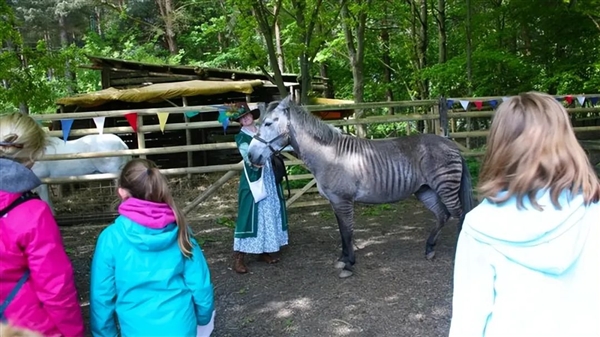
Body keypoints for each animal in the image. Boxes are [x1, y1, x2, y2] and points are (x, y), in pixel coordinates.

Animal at [247, 96, 474, 276]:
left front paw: (349, 265)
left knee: (459, 215)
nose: (250, 156)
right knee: (443, 215)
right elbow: (341, 231)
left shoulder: (343, 201)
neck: (329, 155)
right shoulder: (335, 202)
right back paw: (429, 249)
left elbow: (347, 232)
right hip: (425, 190)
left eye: (268, 123)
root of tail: (451, 144)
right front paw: (342, 259)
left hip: (445, 187)